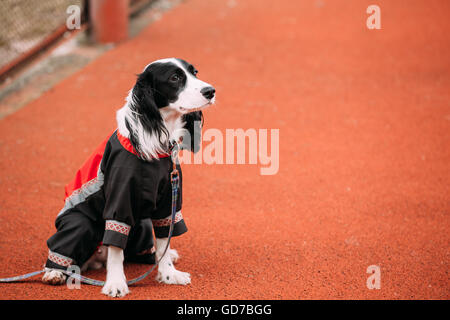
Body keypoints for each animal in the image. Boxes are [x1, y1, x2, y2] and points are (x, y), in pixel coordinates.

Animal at [42, 58, 216, 298]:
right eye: (174, 78)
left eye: (195, 72)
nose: (211, 91)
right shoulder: (120, 200)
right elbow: (117, 247)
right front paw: (116, 284)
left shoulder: (168, 200)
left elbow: (164, 239)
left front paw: (168, 274)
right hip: (79, 223)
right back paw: (54, 272)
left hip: (141, 224)